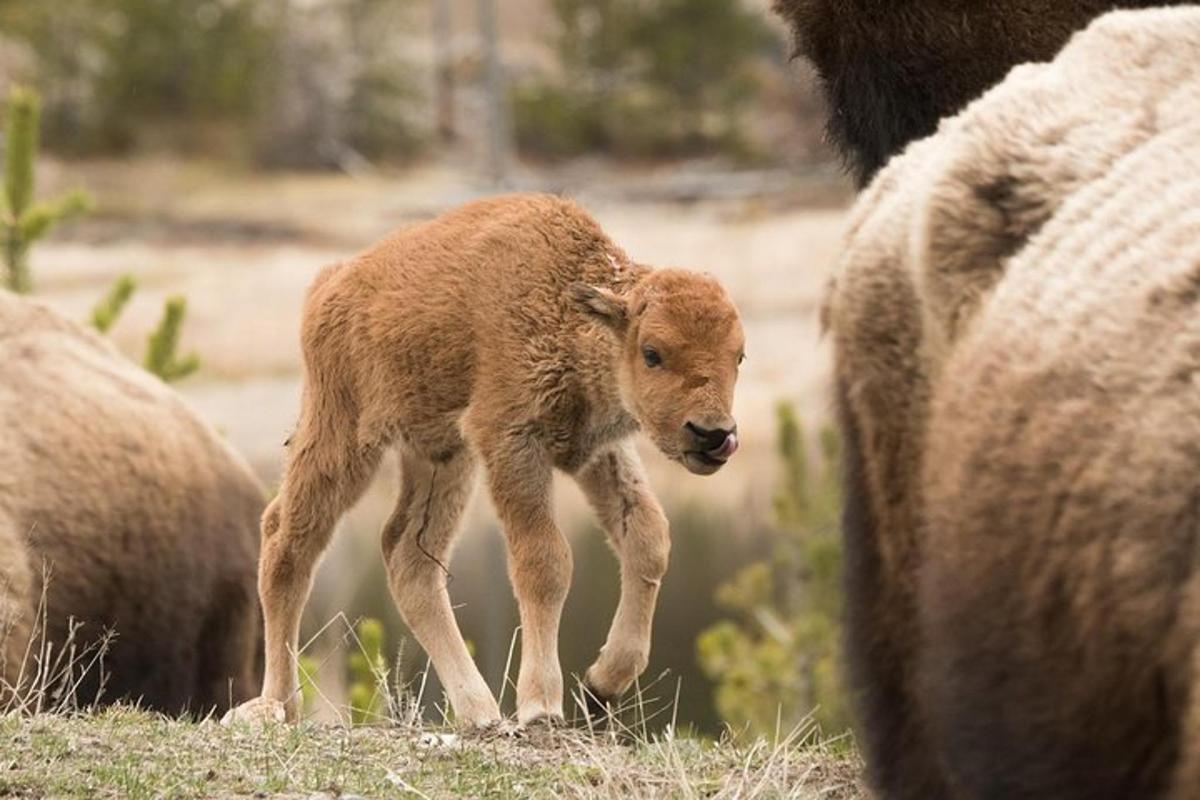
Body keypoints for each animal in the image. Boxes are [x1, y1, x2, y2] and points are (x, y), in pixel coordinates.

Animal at [224, 191, 739, 724]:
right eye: (652, 352)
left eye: (738, 357)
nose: (712, 434)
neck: (569, 307)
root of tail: (329, 283)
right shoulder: (511, 442)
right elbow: (545, 562)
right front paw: (541, 705)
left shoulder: (597, 449)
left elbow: (647, 536)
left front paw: (601, 686)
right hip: (342, 440)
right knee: (286, 540)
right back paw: (278, 703)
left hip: (444, 458)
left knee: (409, 558)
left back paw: (479, 711)